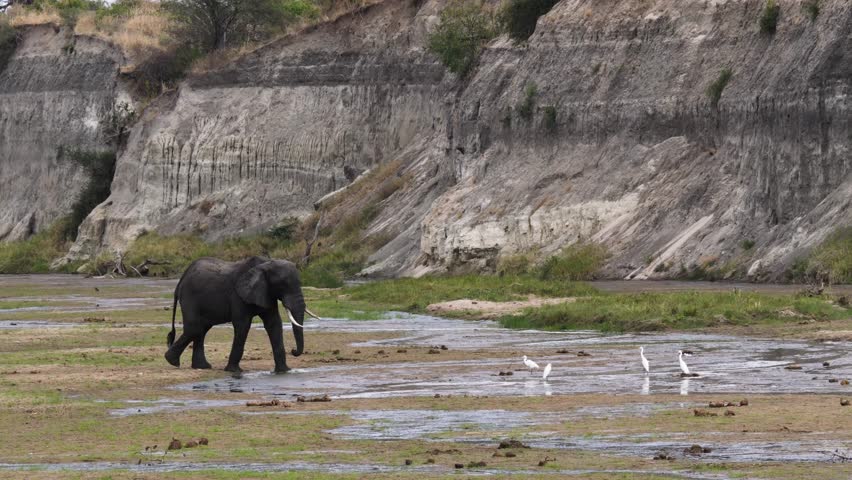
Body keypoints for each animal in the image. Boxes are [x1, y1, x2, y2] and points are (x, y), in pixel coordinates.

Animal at [164, 256, 320, 373]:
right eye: (282, 285)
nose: (293, 350)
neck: (264, 265)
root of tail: (182, 278)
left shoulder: (267, 293)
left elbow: (274, 324)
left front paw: (284, 371)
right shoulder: (238, 295)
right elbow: (243, 325)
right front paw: (233, 371)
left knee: (201, 329)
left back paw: (201, 367)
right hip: (190, 297)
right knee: (195, 328)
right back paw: (172, 361)